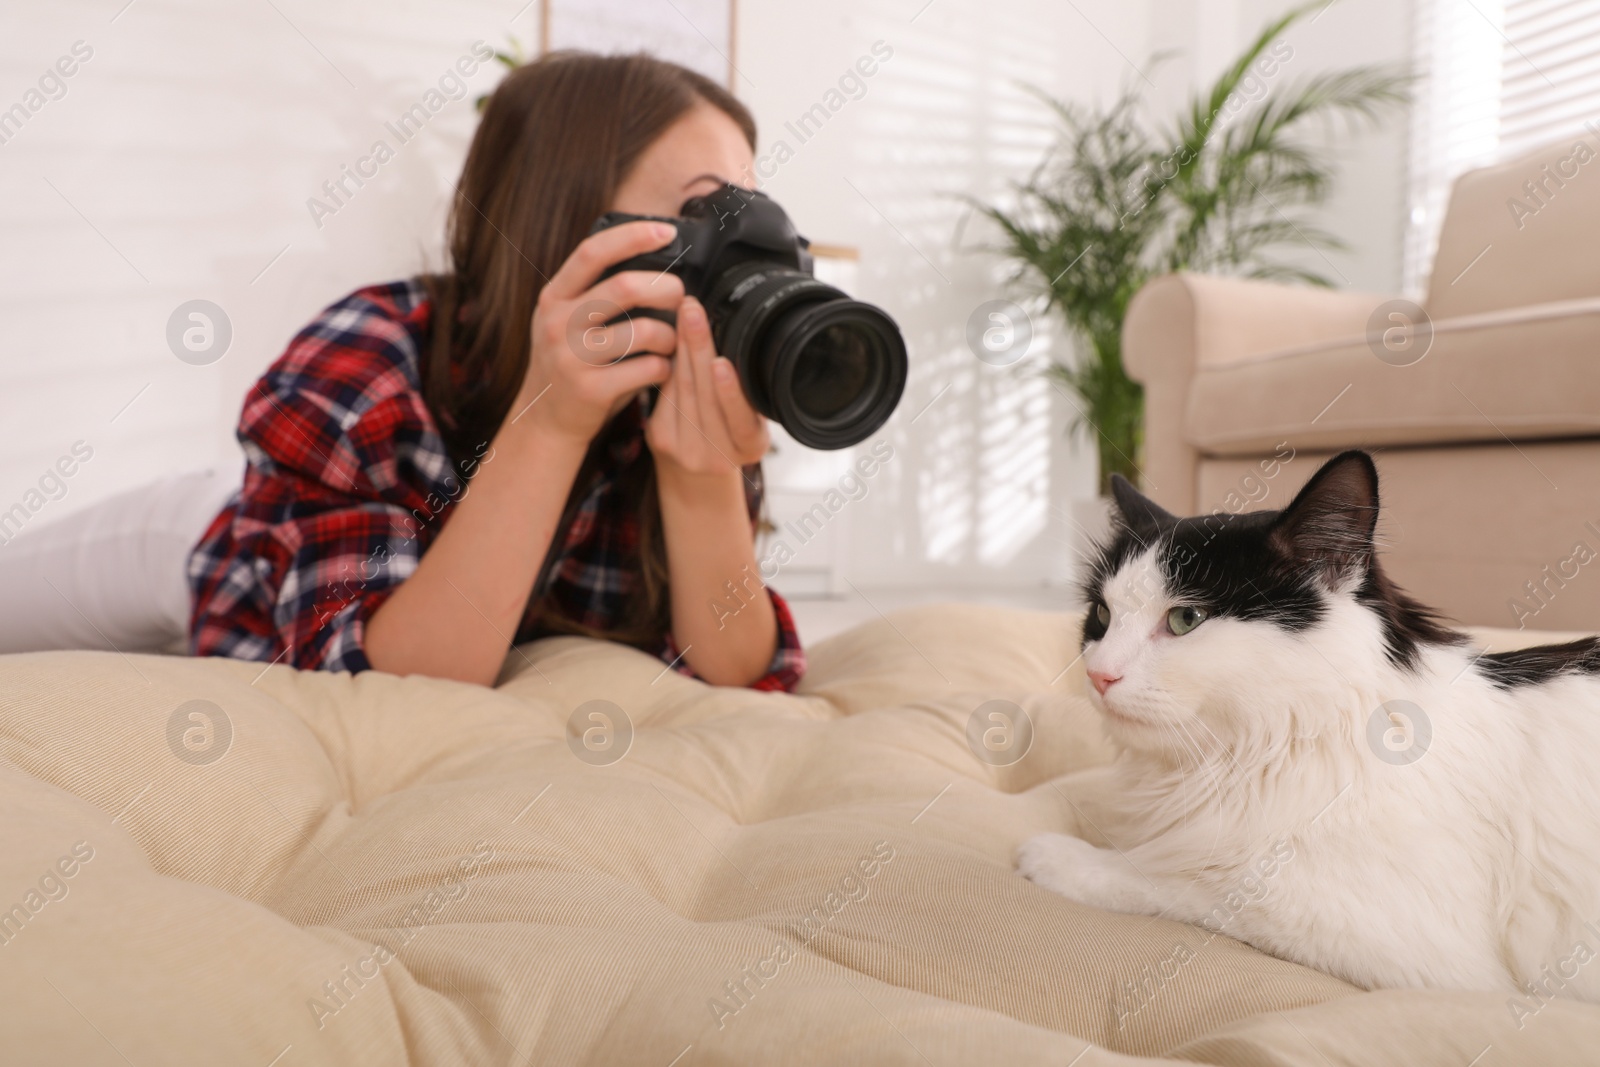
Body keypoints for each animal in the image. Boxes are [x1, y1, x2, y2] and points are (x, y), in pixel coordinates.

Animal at [1017, 447, 1600, 1011]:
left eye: (1185, 619)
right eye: (1101, 615)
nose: (1098, 675)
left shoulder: (1417, 953)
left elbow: (1176, 879)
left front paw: (1055, 856)